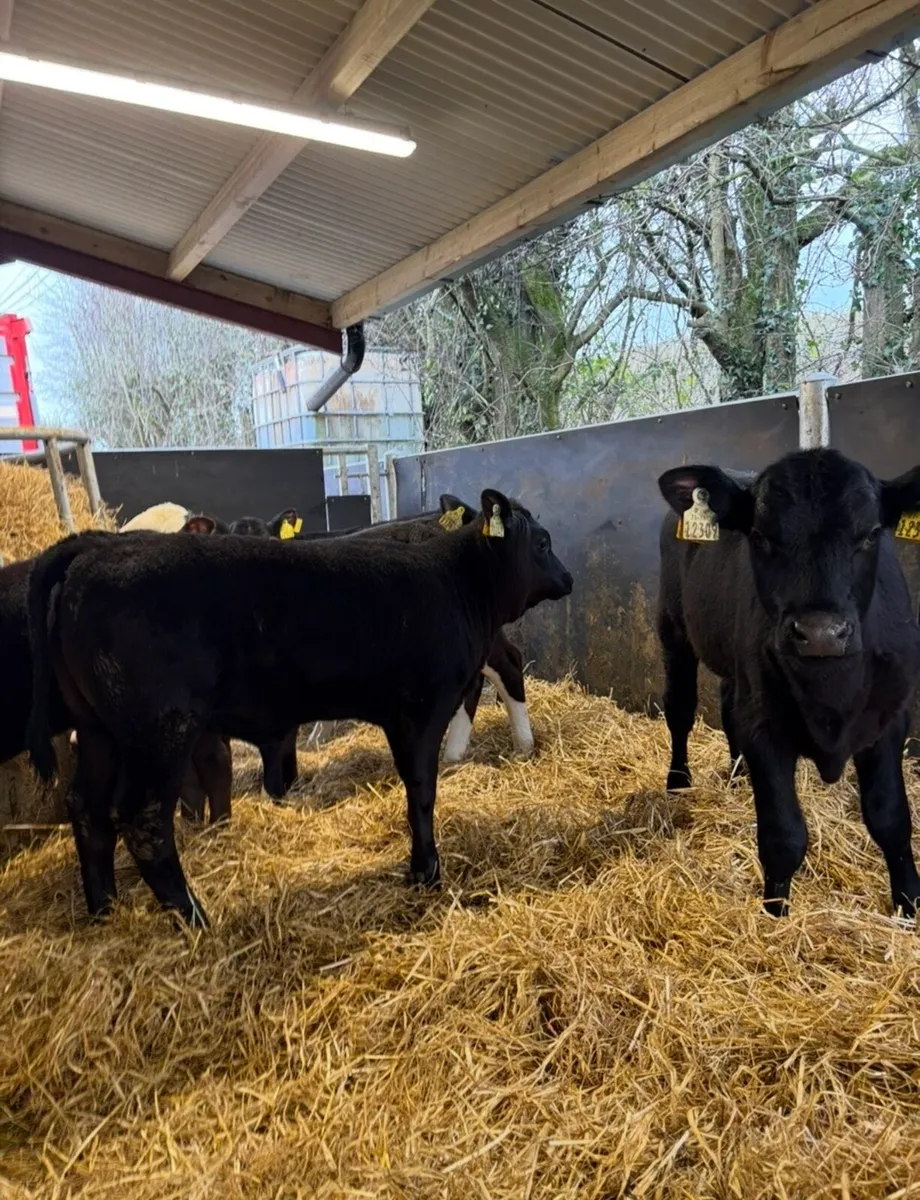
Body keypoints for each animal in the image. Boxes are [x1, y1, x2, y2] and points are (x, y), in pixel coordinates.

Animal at [26, 490, 572, 928]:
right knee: (142, 820)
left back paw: (104, 910)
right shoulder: (419, 711)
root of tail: (92, 551)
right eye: (544, 543)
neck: (452, 581)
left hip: (98, 730)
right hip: (159, 730)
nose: (568, 577)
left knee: (87, 808)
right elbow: (421, 792)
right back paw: (193, 917)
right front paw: (426, 871)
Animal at [657, 446, 920, 917]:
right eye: (760, 536)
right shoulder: (764, 727)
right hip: (673, 629)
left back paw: (738, 775)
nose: (820, 633)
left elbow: (891, 818)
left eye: (872, 534)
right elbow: (783, 836)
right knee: (680, 707)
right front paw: (775, 913)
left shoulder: (891, 718)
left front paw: (909, 905)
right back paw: (679, 781)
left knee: (727, 702)